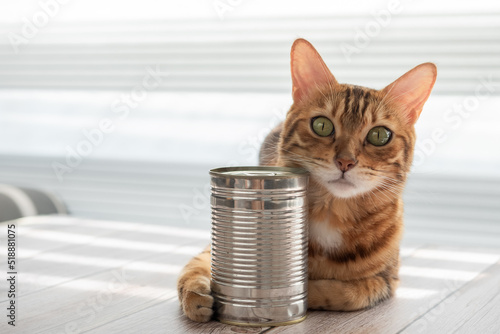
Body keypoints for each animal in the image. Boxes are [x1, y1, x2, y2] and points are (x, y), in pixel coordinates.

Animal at [178, 37, 436, 322]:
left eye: (379, 135)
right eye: (322, 125)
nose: (345, 162)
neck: (332, 212)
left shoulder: (387, 280)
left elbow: (349, 294)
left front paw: (298, 294)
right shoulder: (210, 251)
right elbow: (193, 269)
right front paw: (197, 295)